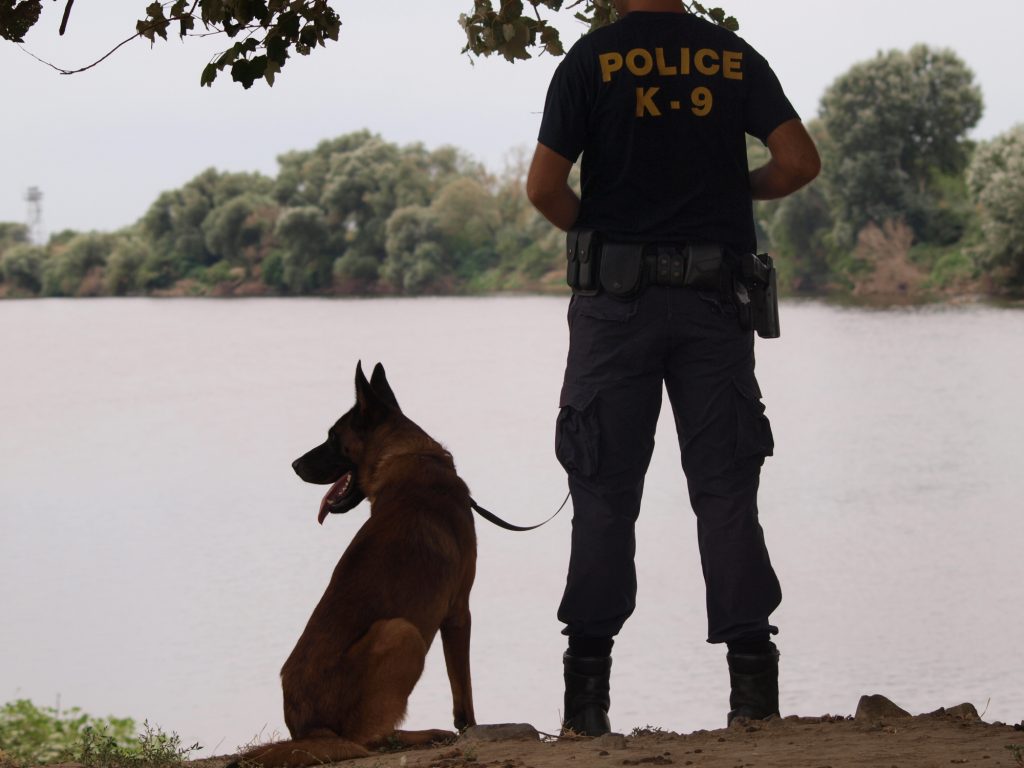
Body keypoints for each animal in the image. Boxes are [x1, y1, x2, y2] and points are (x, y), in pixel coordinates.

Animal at [241, 364, 477, 765]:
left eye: (333, 438)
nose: (295, 465)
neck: (412, 455)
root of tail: (311, 731)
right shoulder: (459, 611)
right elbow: (463, 691)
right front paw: (470, 727)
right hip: (401, 631)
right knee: (369, 740)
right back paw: (428, 734)